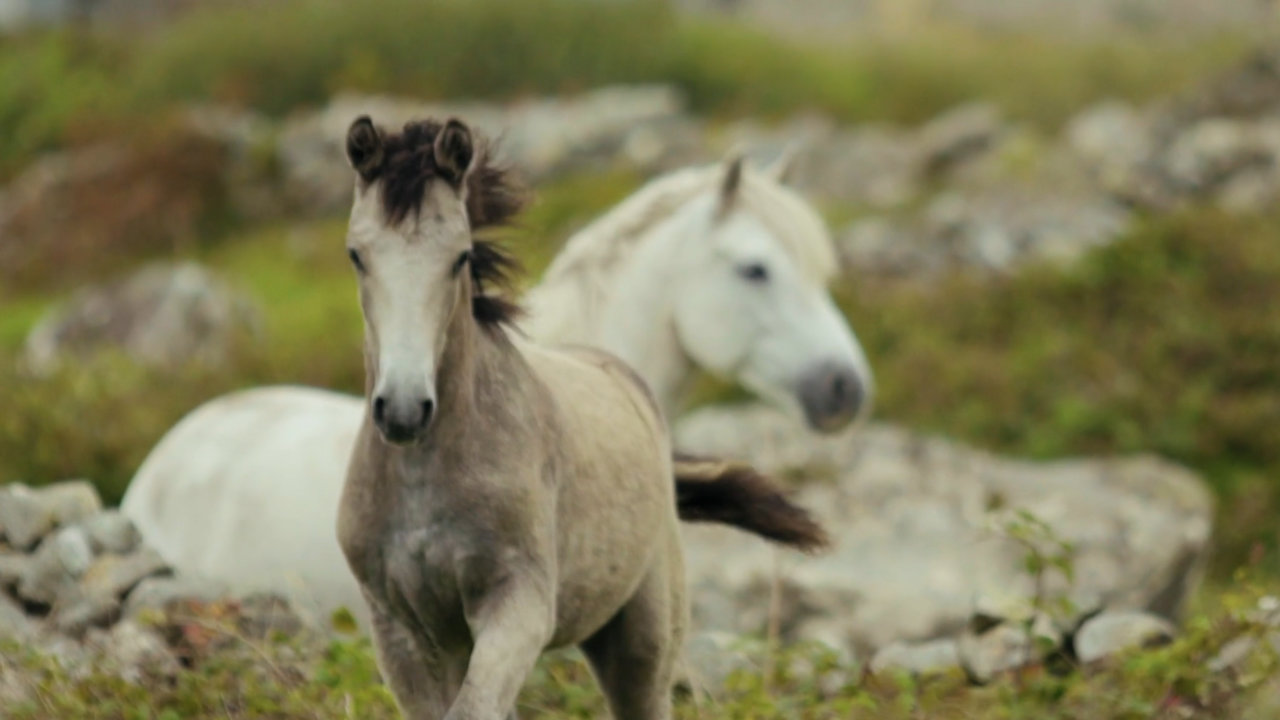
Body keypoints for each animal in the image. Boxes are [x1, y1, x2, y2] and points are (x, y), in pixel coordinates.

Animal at [334, 115, 824, 720]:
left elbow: (475, 707)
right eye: (357, 254)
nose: (404, 408)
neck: (424, 480)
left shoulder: (517, 604)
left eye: (460, 257)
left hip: (642, 642)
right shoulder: (401, 629)